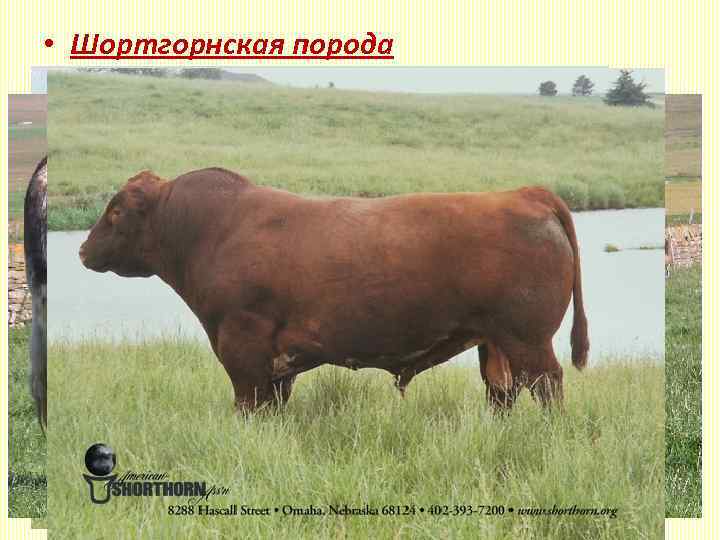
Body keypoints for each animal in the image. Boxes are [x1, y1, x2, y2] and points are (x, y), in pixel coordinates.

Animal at [79, 167, 589, 413]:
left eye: (117, 211)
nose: (83, 249)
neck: (212, 229)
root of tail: (523, 193)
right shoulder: (275, 363)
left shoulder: (242, 345)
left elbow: (249, 404)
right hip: (496, 342)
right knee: (504, 392)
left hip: (528, 338)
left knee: (547, 385)